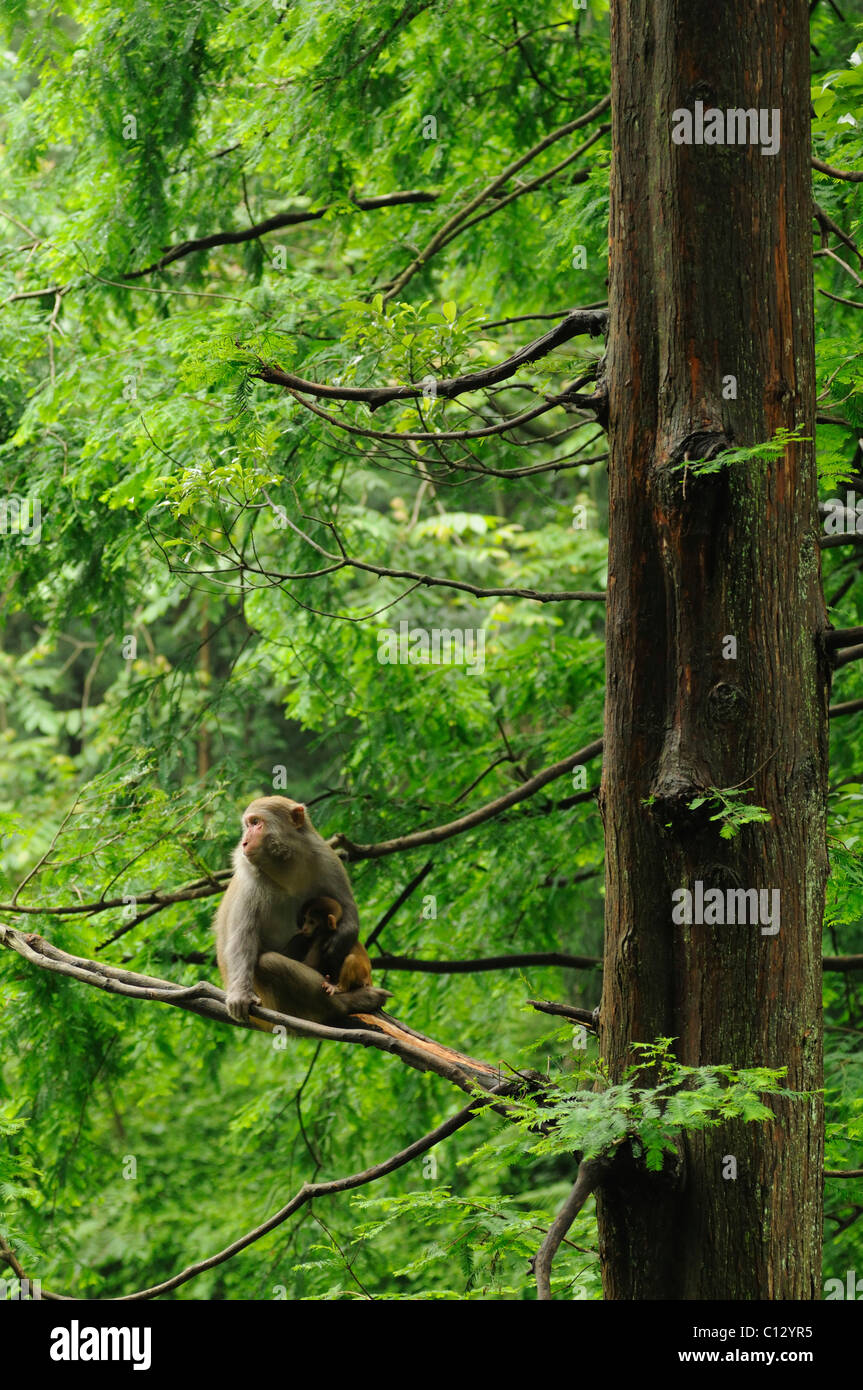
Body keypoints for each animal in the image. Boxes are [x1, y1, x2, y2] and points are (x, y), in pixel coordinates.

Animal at [214, 800, 389, 1028]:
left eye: (256, 822)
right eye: (248, 825)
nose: (244, 842)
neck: (285, 866)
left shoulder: (326, 857)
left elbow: (347, 906)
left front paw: (340, 939)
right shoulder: (248, 881)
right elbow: (242, 938)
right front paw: (240, 995)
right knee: (270, 962)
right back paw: (348, 1002)